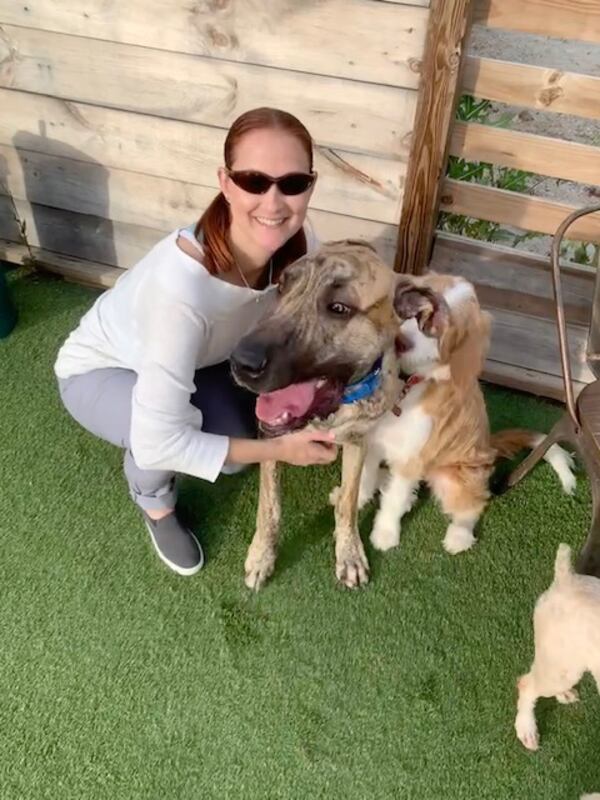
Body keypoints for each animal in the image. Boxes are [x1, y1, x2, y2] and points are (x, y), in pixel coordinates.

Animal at [229, 241, 422, 592]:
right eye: (282, 286)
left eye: (339, 307)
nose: (242, 363)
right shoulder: (271, 441)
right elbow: (269, 506)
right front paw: (262, 556)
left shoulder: (358, 440)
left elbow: (347, 502)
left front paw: (349, 553)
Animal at [356, 276, 576, 556]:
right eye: (415, 308)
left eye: (442, 329)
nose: (400, 342)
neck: (406, 385)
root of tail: (490, 445)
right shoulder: (371, 439)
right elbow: (363, 476)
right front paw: (354, 500)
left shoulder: (411, 459)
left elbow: (395, 500)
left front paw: (384, 534)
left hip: (455, 477)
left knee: (472, 503)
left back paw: (459, 536)